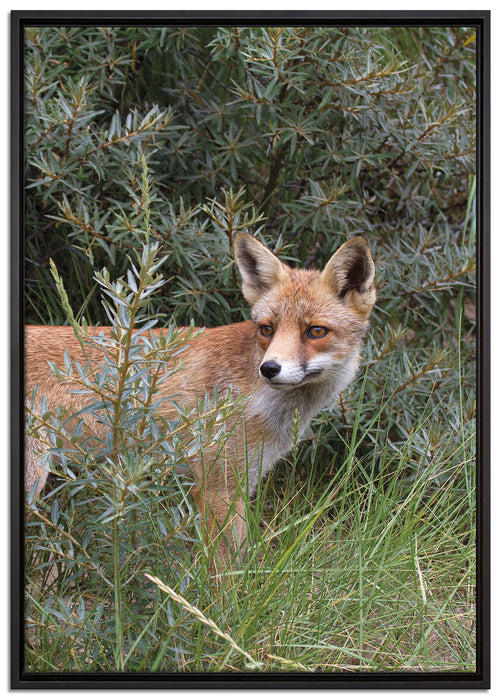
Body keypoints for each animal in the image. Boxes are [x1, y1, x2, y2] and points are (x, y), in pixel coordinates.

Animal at [25, 233, 376, 565]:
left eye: (316, 331)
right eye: (267, 329)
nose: (269, 368)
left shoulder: (241, 483)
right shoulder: (217, 488)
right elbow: (225, 573)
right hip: (33, 481)